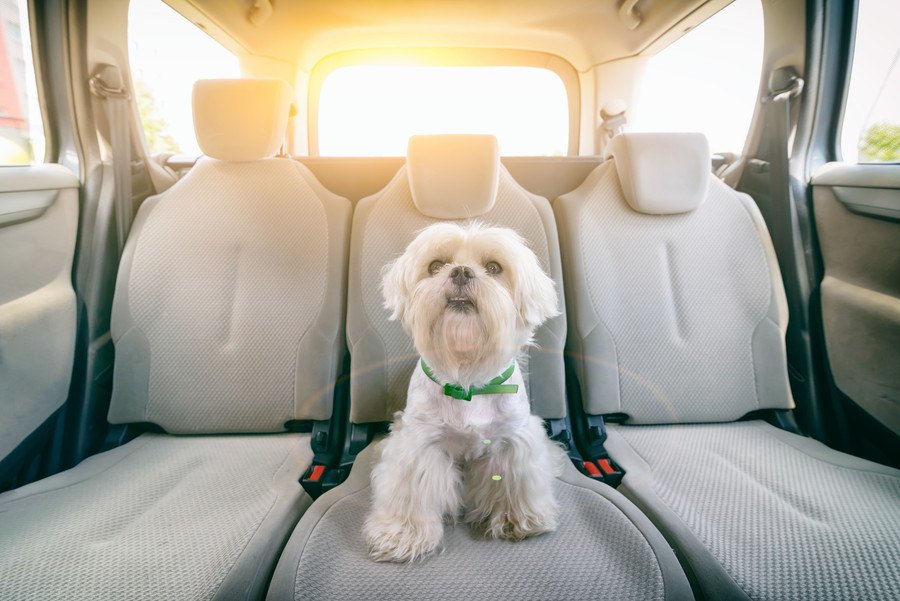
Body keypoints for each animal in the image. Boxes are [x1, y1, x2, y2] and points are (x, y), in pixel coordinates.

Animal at [360, 221, 564, 564]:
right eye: (435, 265)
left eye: (494, 267)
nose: (460, 272)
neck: (467, 380)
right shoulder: (419, 447)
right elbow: (412, 494)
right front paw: (402, 535)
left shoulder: (511, 441)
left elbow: (514, 484)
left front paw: (517, 520)